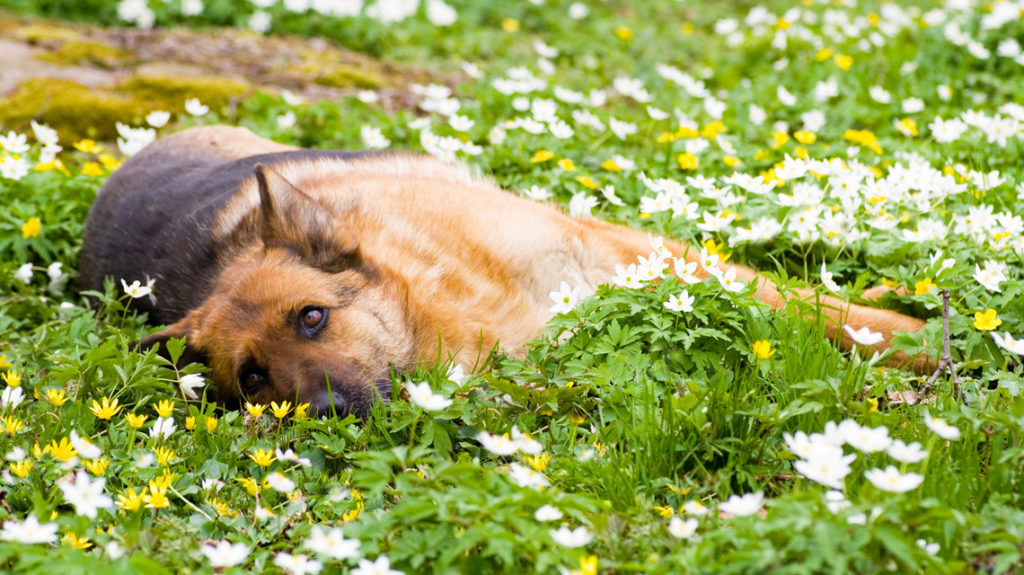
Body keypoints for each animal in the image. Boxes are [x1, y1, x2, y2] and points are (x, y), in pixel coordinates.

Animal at [79, 125, 929, 413]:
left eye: (312, 316)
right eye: (251, 378)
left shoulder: (614, 249)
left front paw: (913, 330)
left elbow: (809, 305)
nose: (322, 411)